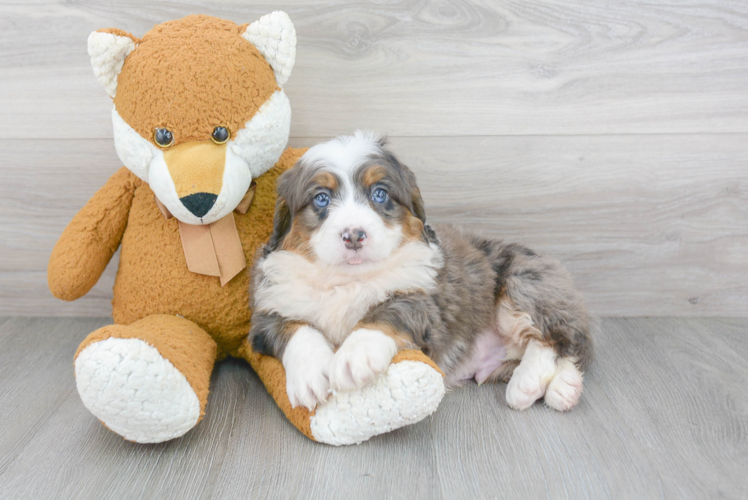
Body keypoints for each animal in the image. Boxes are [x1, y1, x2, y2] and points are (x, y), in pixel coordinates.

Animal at [248, 131, 592, 412]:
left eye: (380, 194)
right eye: (321, 198)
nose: (354, 235)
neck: (347, 279)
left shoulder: (425, 299)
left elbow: (389, 310)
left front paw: (355, 354)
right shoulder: (268, 310)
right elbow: (296, 328)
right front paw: (310, 374)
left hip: (524, 282)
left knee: (560, 337)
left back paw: (530, 383)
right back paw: (564, 388)